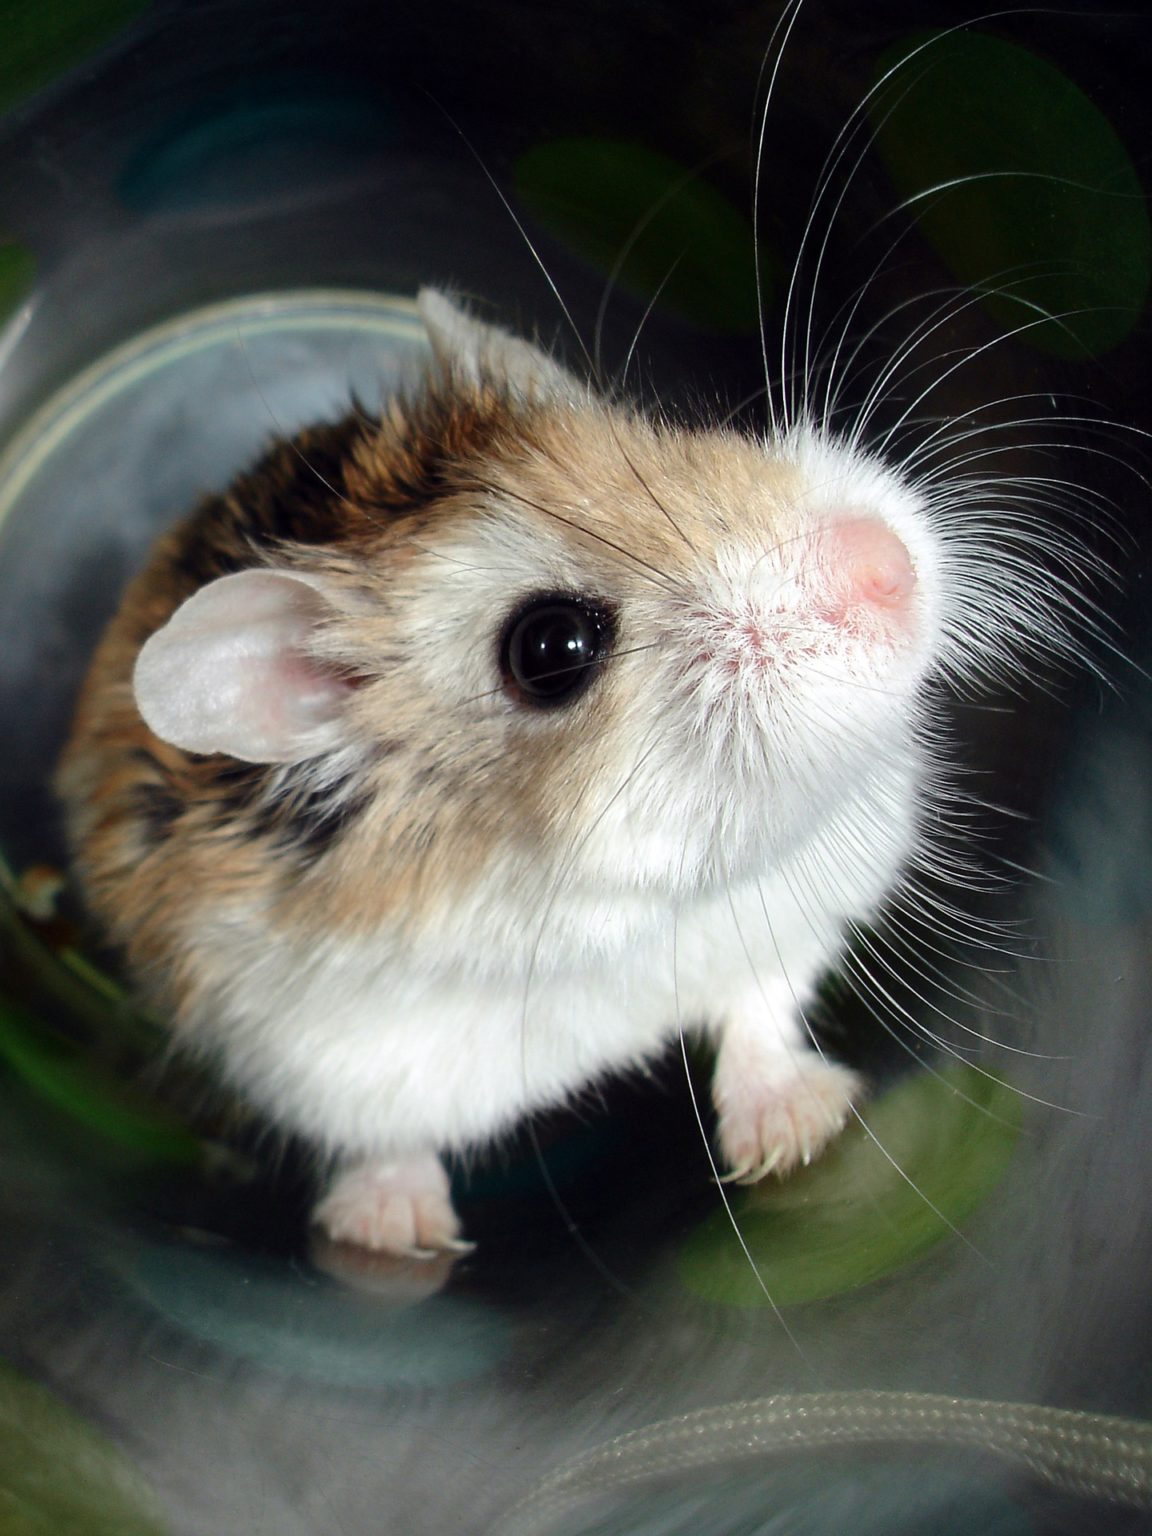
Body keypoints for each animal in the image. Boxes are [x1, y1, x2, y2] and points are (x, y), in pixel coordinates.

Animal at [54, 286, 1056, 1256]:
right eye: (551, 648)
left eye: (668, 435)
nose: (887, 564)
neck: (621, 892)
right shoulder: (316, 1060)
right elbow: (385, 1141)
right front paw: (394, 1242)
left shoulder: (796, 915)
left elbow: (759, 1014)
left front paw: (799, 1133)